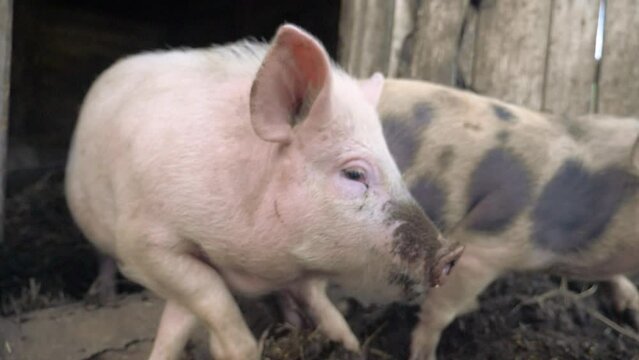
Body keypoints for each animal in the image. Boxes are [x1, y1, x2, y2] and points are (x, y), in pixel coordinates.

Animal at [65, 23, 462, 358]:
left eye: (395, 163)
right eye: (353, 173)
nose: (451, 254)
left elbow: (311, 295)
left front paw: (348, 344)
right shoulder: (145, 243)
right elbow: (210, 300)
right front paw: (239, 350)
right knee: (103, 257)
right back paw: (102, 299)